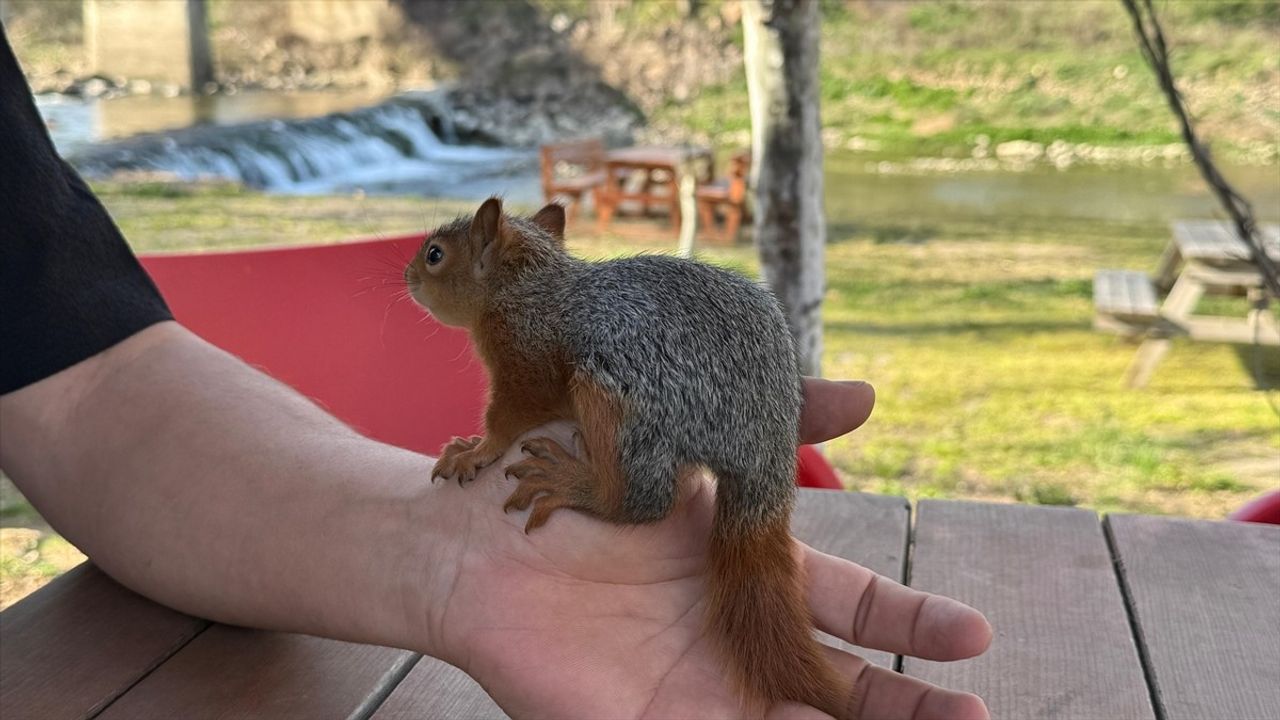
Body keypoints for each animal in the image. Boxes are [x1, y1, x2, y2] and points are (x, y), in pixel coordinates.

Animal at [404, 197, 855, 717]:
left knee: (645, 500)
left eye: (435, 254)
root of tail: (762, 443)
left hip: (618, 398)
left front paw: (474, 453)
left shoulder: (527, 364)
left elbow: (508, 419)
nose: (407, 276)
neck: (527, 288)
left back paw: (570, 480)